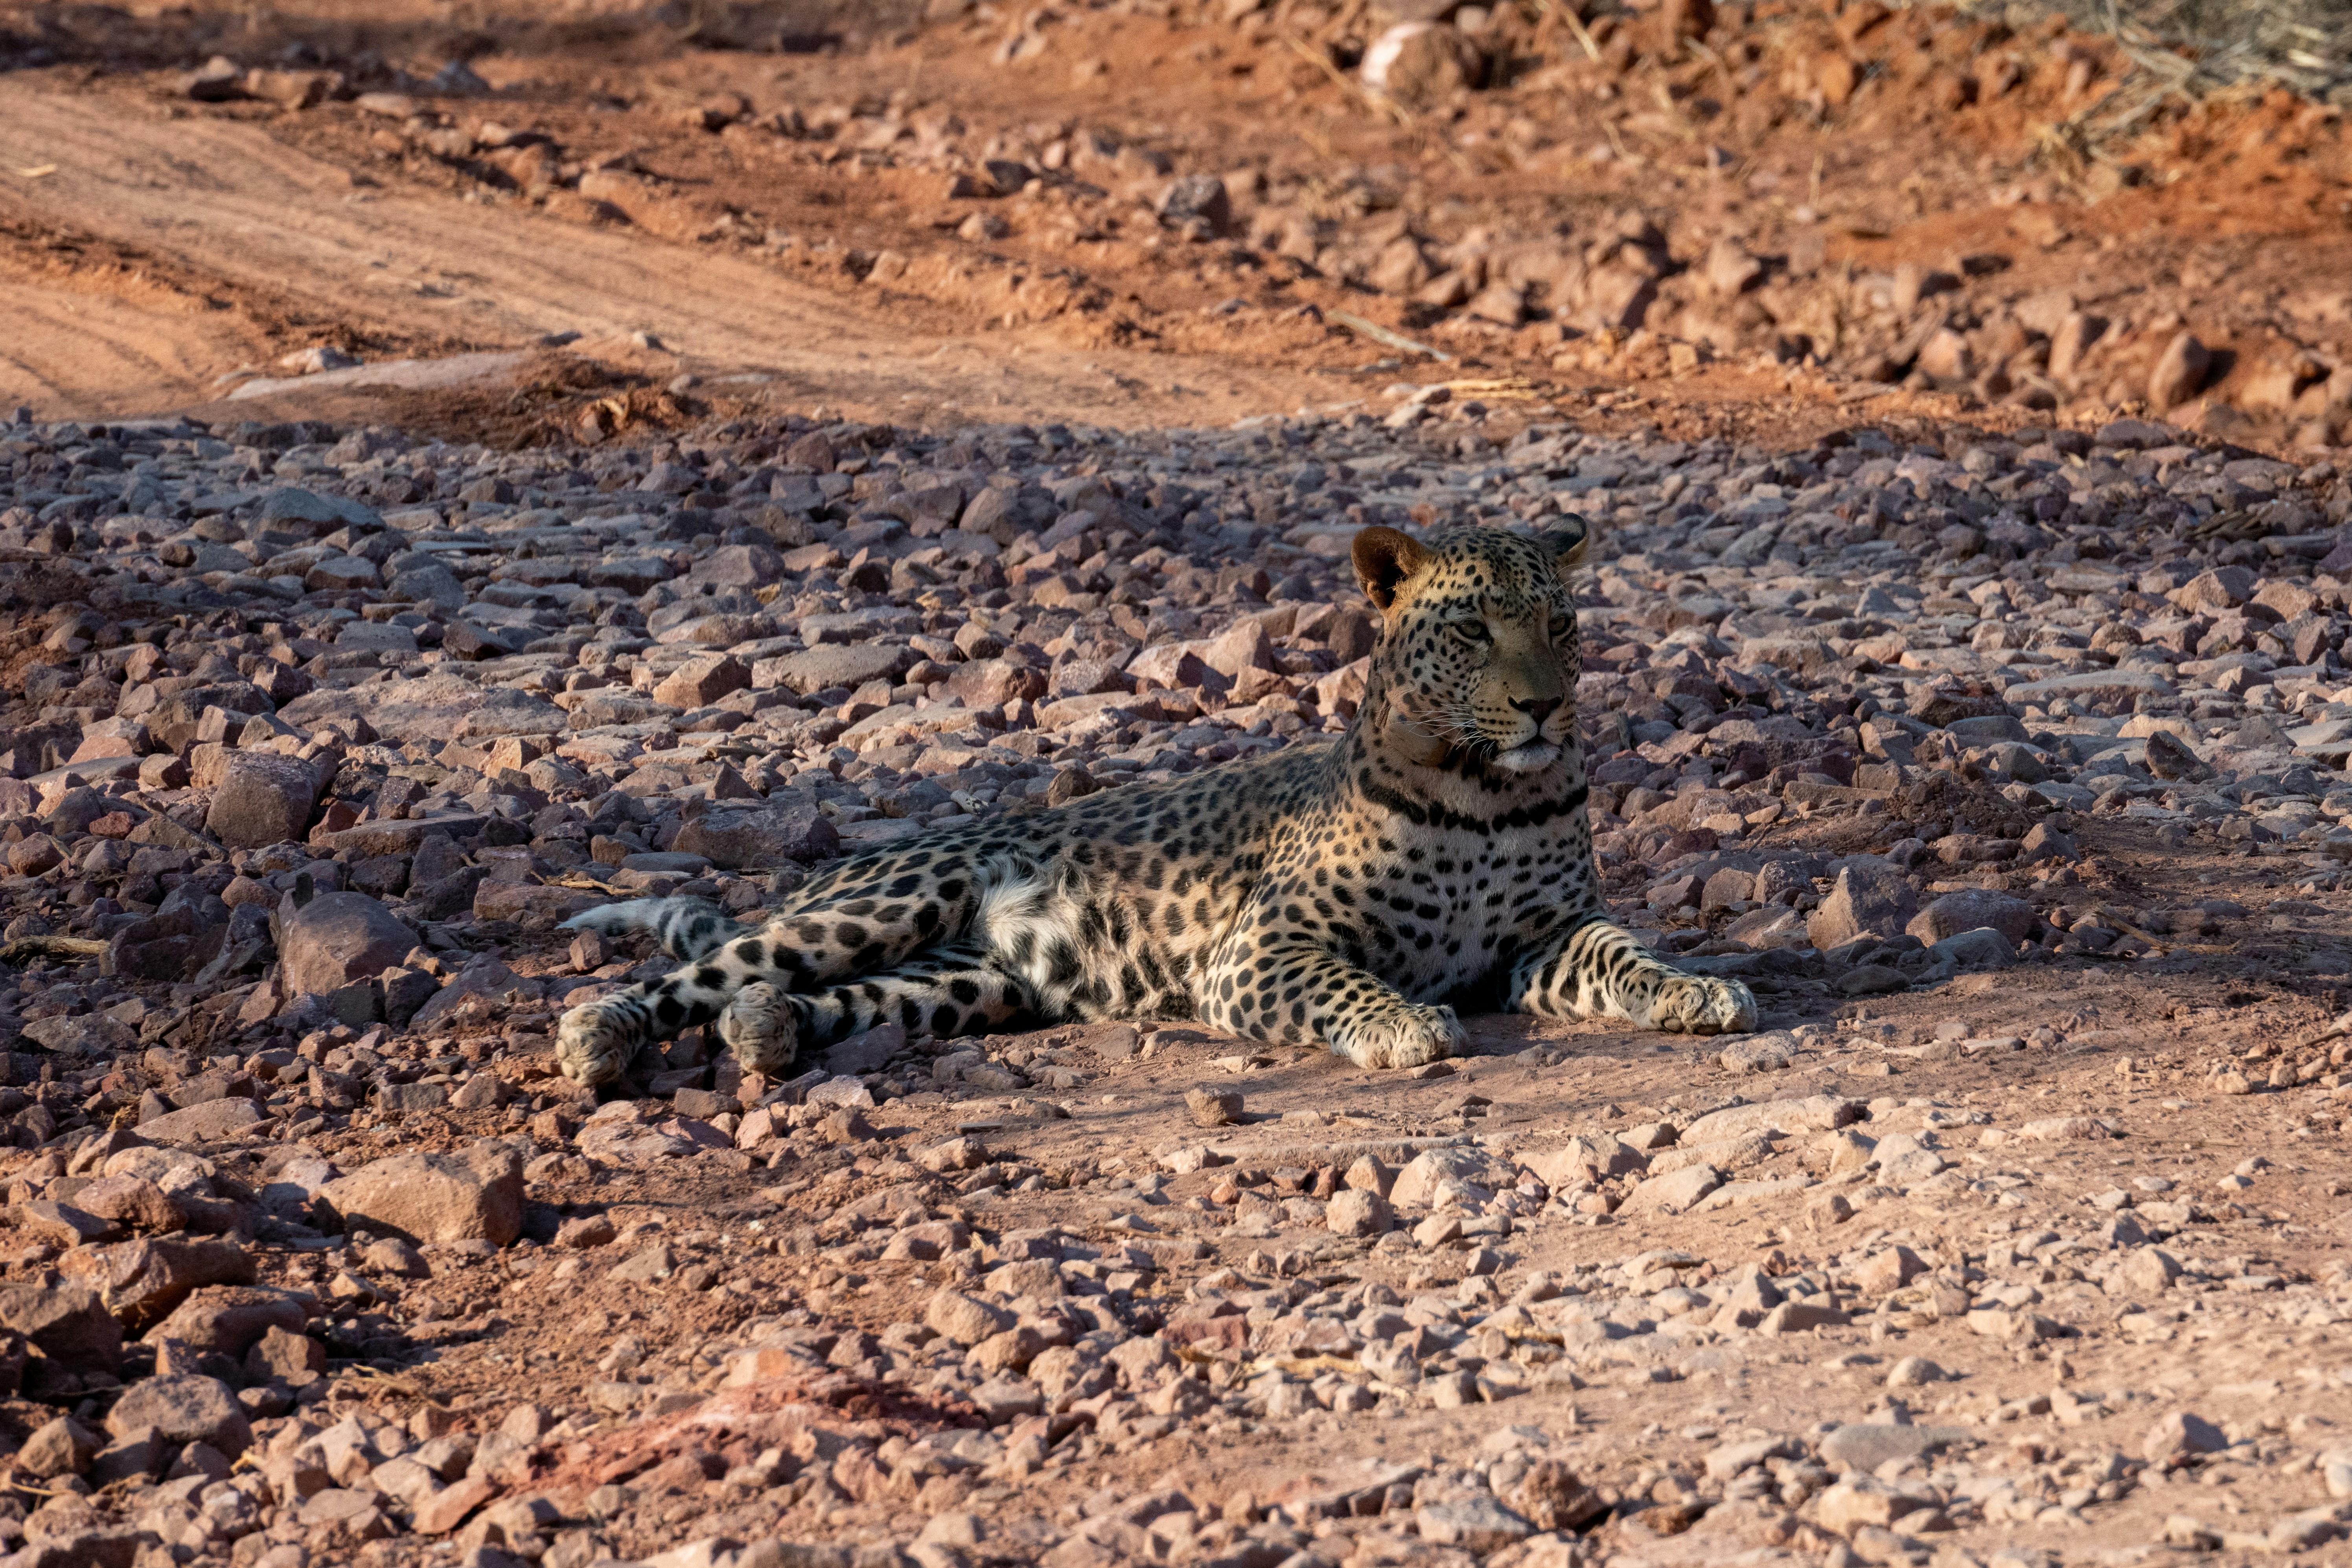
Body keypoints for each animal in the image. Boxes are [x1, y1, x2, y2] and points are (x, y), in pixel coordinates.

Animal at [551, 521, 1758, 1089]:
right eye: (1470, 628)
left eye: (1558, 624)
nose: (1545, 705)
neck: (1481, 790)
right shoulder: (1265, 946)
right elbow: (1346, 981)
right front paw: (1402, 1024)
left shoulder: (1542, 935)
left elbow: (1618, 954)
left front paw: (1693, 988)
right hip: (883, 900)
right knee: (683, 977)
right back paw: (596, 1038)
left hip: (963, 984)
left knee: (817, 1000)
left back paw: (765, 1031)